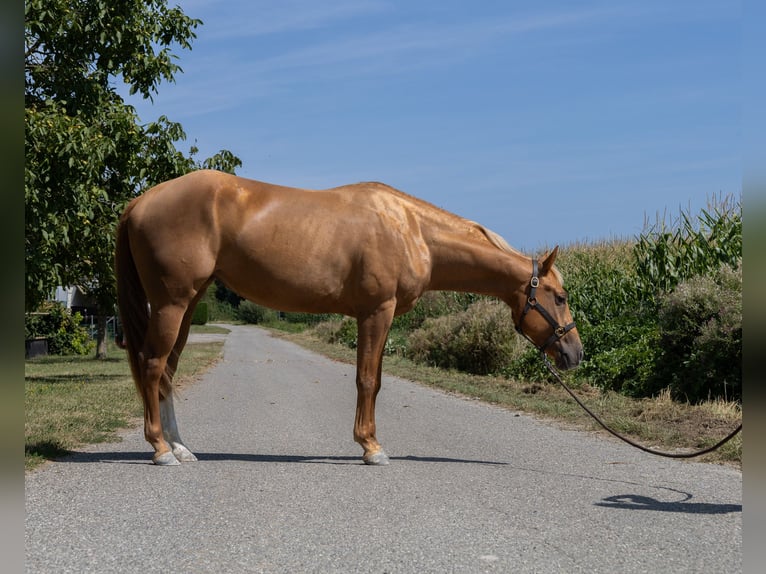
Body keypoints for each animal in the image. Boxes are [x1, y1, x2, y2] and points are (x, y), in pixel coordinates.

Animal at [114, 169, 584, 466]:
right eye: (560, 297)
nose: (574, 353)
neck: (411, 229)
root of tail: (141, 199)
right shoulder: (377, 312)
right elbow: (369, 380)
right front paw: (371, 447)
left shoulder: (371, 315)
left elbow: (369, 378)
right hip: (173, 303)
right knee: (153, 366)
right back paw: (160, 450)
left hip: (188, 303)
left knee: (168, 371)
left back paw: (180, 448)